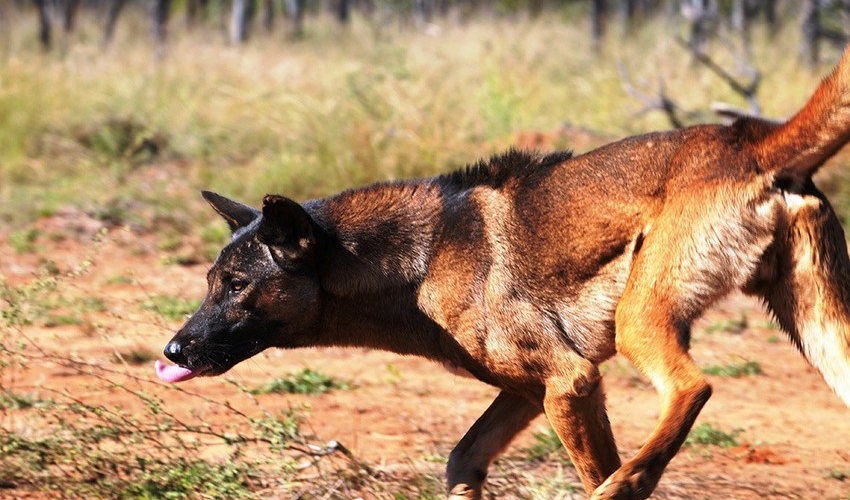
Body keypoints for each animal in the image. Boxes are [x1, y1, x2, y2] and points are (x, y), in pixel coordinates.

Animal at [156, 47, 848, 500]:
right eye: (210, 283)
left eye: (237, 286)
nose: (171, 351)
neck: (421, 261)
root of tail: (750, 137)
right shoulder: (527, 393)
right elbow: (462, 459)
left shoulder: (570, 382)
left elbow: (591, 463)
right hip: (820, 334)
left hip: (640, 321)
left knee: (691, 389)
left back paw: (629, 482)